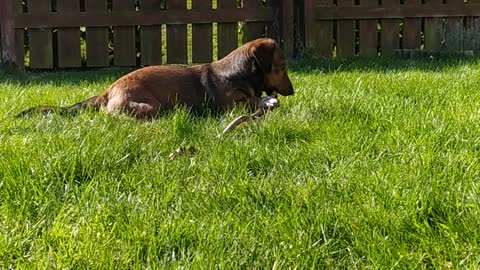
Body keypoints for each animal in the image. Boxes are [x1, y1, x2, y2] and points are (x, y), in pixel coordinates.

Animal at [16, 38, 294, 118]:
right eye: (283, 66)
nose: (293, 91)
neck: (238, 74)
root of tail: (108, 91)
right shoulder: (231, 106)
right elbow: (250, 102)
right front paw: (267, 102)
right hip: (150, 106)